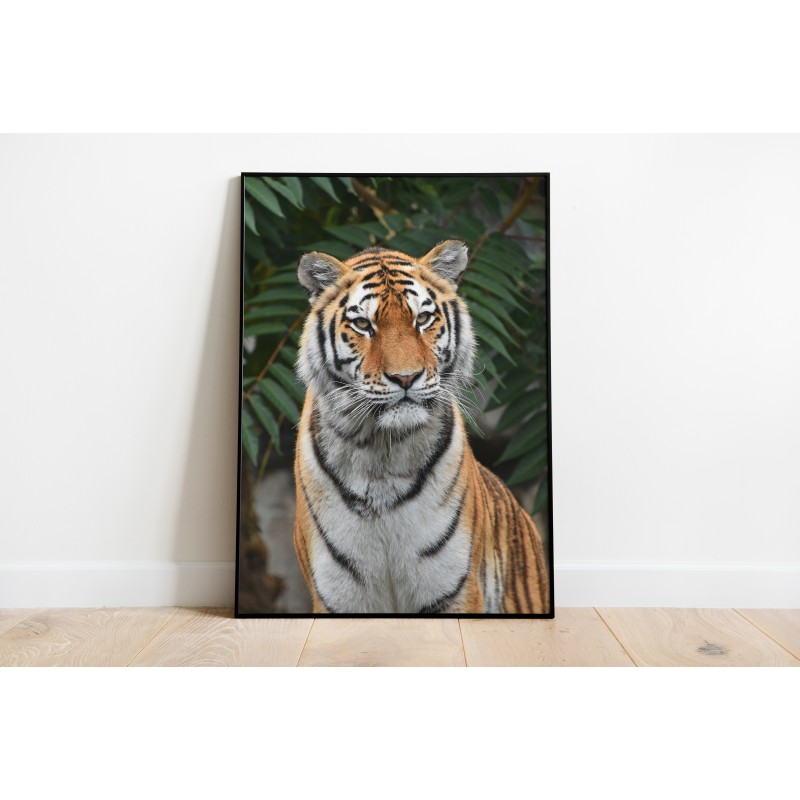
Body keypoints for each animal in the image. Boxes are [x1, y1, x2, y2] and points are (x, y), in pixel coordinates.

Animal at [293, 239, 550, 615]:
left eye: (423, 319)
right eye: (363, 324)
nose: (406, 377)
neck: (381, 452)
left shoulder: (456, 589)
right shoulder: (337, 597)